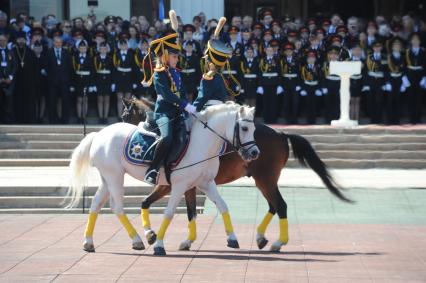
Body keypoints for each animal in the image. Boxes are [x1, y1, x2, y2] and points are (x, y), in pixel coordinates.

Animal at [66, 102, 260, 258]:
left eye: (254, 129)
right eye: (244, 128)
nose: (254, 153)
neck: (202, 144)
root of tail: (99, 134)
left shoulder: (205, 183)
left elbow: (222, 206)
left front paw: (232, 238)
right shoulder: (179, 186)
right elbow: (169, 213)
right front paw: (159, 245)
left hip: (107, 178)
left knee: (96, 204)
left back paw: (89, 242)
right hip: (115, 176)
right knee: (117, 207)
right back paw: (137, 239)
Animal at [121, 97, 352, 253]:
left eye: (125, 114)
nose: (126, 130)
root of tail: (280, 133)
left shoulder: (171, 185)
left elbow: (151, 203)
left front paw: (154, 236)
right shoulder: (188, 185)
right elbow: (187, 211)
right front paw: (180, 239)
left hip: (265, 179)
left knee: (280, 205)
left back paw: (277, 242)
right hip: (265, 180)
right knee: (273, 206)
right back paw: (261, 237)